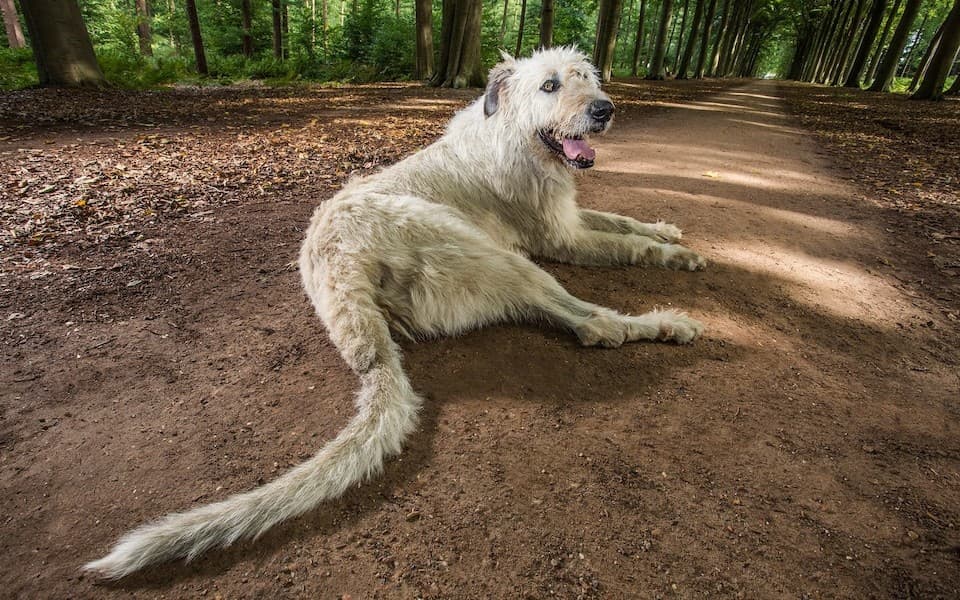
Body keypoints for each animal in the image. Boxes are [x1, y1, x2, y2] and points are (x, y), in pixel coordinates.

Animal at [84, 44, 704, 580]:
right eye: (549, 85)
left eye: (586, 78)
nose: (604, 109)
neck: (511, 134)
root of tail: (341, 276)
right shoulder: (560, 238)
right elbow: (624, 244)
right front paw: (677, 254)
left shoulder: (570, 217)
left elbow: (619, 220)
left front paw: (665, 229)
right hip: (492, 254)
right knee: (592, 324)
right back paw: (664, 322)